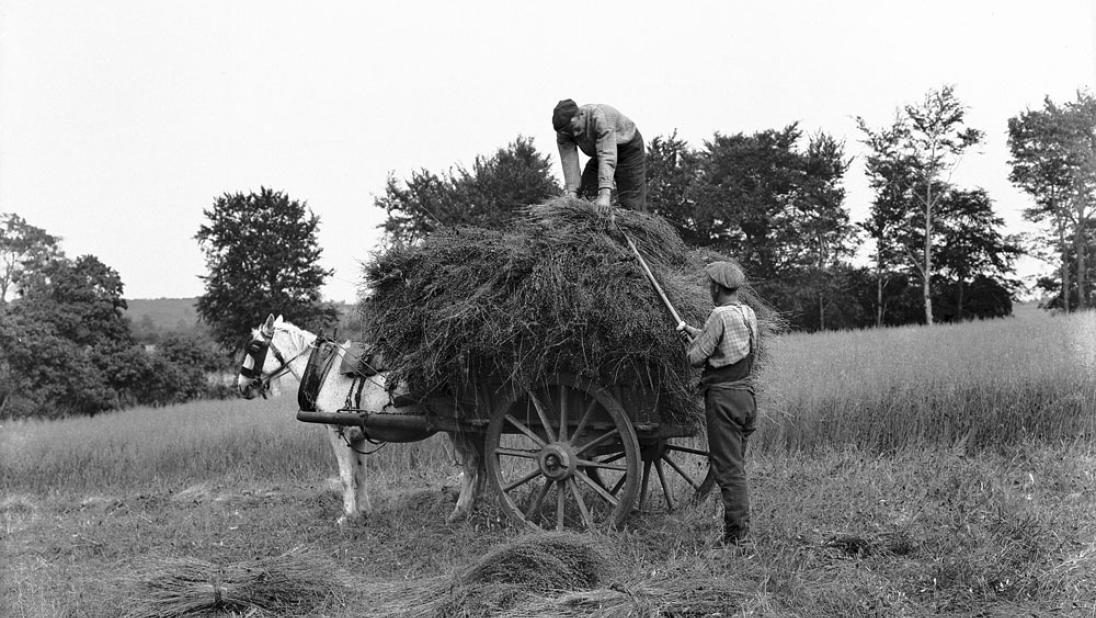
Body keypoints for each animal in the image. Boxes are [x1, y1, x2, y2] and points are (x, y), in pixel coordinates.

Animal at [237, 315, 482, 523]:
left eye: (254, 347)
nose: (242, 386)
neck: (325, 369)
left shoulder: (337, 431)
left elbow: (346, 476)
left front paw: (347, 516)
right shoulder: (357, 435)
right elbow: (360, 475)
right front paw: (364, 511)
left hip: (456, 428)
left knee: (471, 464)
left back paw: (460, 511)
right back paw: (468, 509)